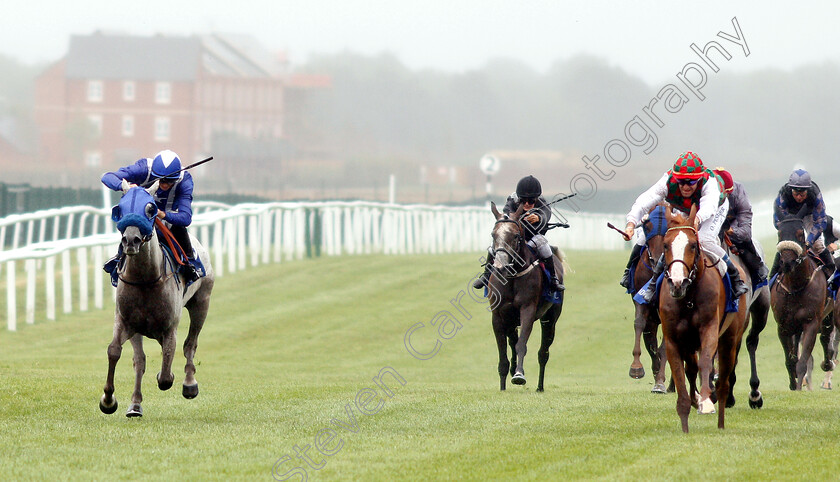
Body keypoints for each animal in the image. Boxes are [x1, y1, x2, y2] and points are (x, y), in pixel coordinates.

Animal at [99, 179, 215, 416]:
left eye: (151, 209)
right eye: (120, 208)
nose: (131, 240)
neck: (145, 279)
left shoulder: (170, 327)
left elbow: (166, 372)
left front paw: (170, 376)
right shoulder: (126, 321)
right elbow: (117, 352)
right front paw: (110, 400)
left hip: (202, 302)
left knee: (190, 344)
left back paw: (189, 383)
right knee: (143, 359)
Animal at [486, 202, 564, 392]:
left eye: (515, 236)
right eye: (493, 234)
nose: (500, 266)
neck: (512, 276)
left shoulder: (527, 309)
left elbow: (522, 344)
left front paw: (519, 375)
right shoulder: (497, 315)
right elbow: (503, 351)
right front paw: (502, 386)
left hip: (550, 318)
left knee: (543, 352)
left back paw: (540, 386)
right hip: (511, 320)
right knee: (512, 340)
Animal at [664, 204, 748, 434]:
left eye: (693, 245)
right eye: (665, 245)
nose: (677, 282)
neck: (688, 298)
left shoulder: (709, 329)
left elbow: (705, 363)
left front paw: (706, 401)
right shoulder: (673, 339)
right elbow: (680, 374)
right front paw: (686, 422)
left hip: (730, 339)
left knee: (723, 383)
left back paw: (719, 420)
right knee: (691, 369)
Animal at [772, 209, 836, 390]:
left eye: (801, 234)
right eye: (779, 233)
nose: (787, 262)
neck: (795, 287)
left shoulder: (811, 323)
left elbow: (803, 362)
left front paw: (800, 387)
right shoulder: (783, 326)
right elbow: (790, 360)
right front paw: (794, 385)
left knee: (826, 338)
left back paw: (827, 364)